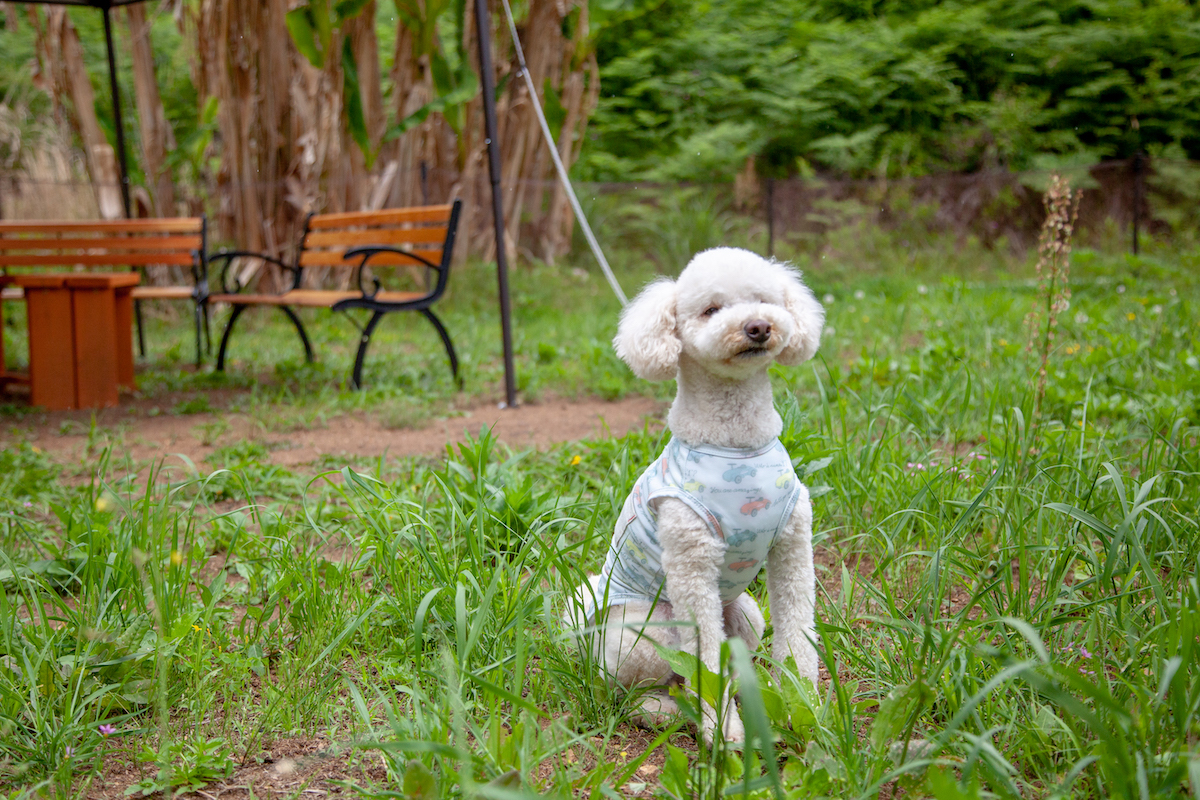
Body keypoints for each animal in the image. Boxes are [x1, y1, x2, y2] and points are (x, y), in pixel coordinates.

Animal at [561, 245, 825, 743]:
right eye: (711, 310)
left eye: (764, 300)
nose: (758, 326)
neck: (737, 446)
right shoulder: (692, 565)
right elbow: (704, 663)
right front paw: (724, 733)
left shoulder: (793, 546)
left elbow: (798, 632)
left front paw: (805, 707)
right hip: (649, 631)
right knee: (636, 687)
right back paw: (661, 709)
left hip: (745, 613)